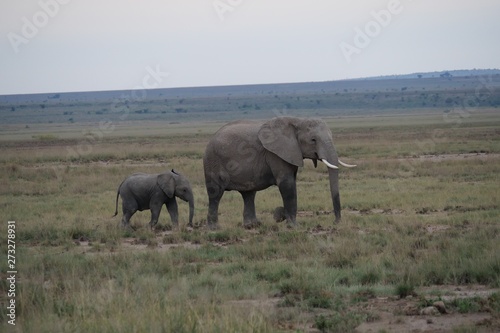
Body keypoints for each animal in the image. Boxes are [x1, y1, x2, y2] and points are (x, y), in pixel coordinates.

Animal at [203, 115, 356, 227]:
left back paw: (252, 226)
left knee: (249, 194)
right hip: (213, 160)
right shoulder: (275, 154)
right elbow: (287, 183)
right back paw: (215, 228)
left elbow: (291, 182)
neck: (297, 121)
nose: (335, 222)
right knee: (215, 193)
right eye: (313, 140)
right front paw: (293, 226)